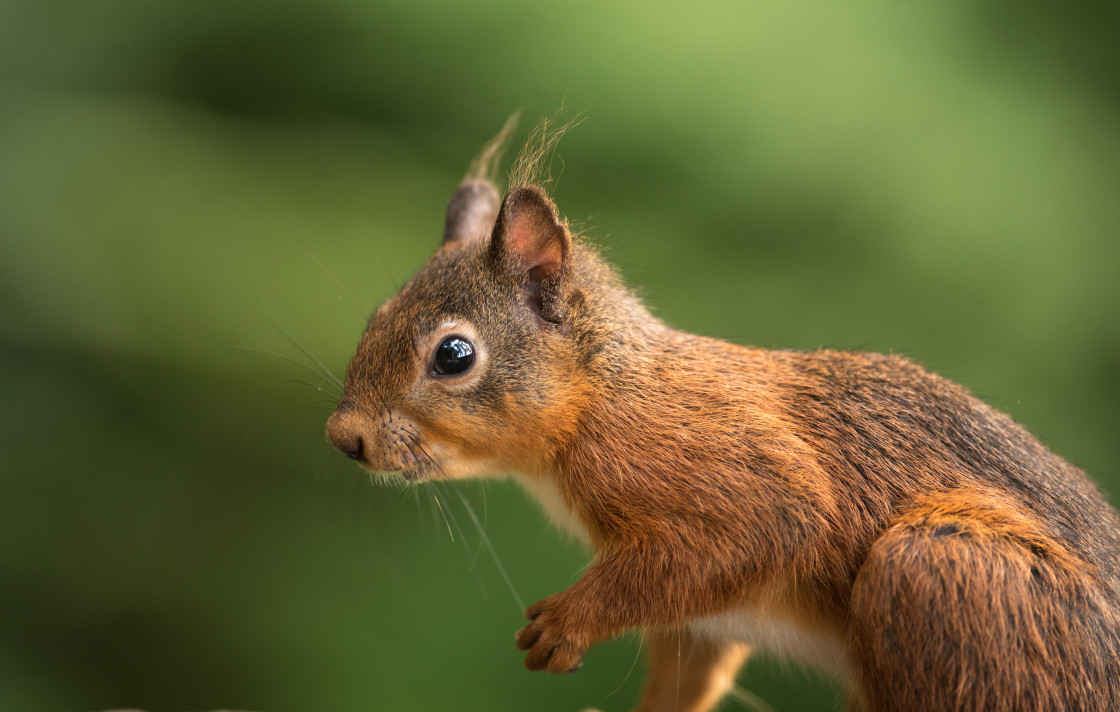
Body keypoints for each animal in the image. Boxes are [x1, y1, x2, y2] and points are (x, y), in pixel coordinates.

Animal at [324, 122, 1120, 712]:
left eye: (454, 354)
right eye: (375, 314)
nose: (345, 438)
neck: (603, 397)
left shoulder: (719, 474)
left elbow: (778, 520)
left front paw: (567, 621)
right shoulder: (700, 621)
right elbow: (685, 675)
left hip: (948, 575)